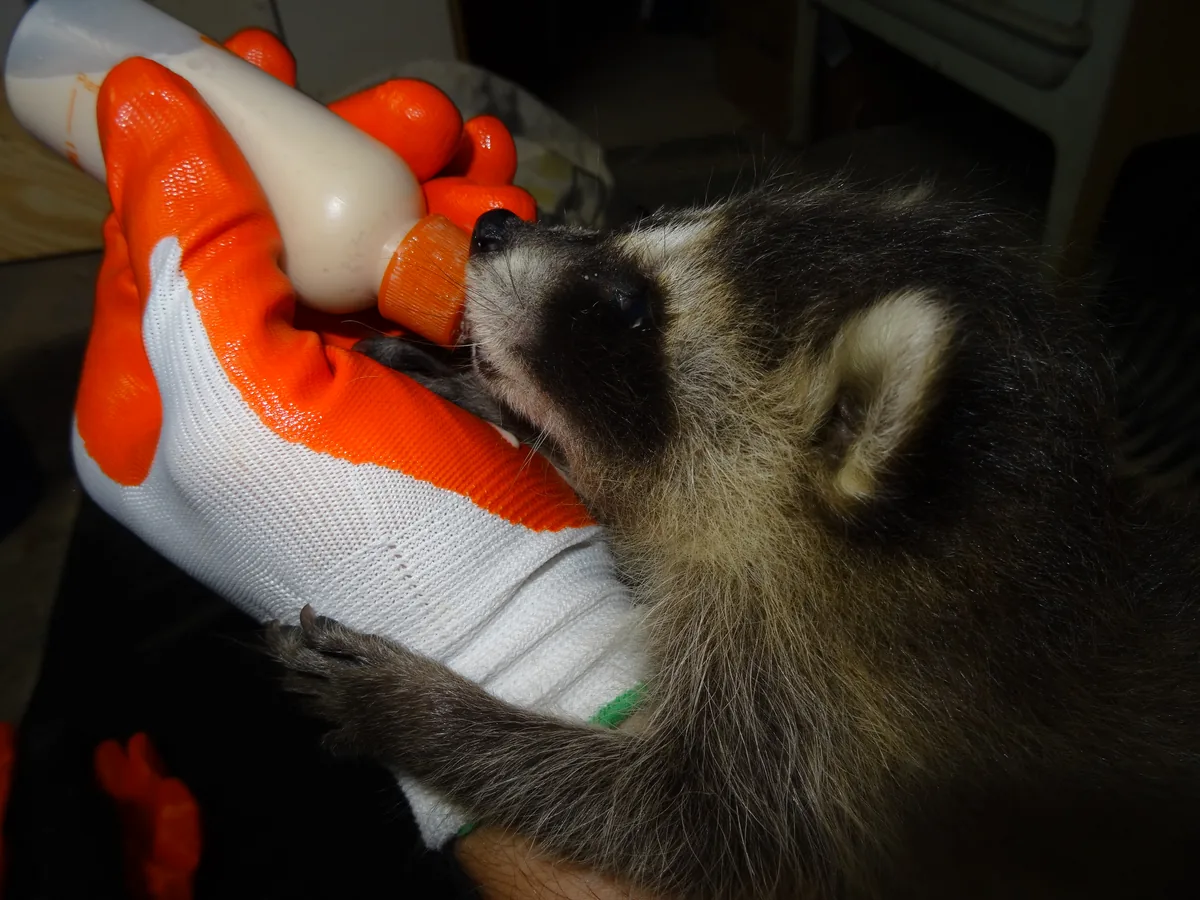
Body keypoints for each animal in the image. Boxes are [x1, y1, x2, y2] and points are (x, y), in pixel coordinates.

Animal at [267, 184, 1200, 899]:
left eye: (626, 313)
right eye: (652, 220)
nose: (494, 224)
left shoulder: (841, 729)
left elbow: (673, 819)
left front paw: (421, 712)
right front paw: (491, 398)